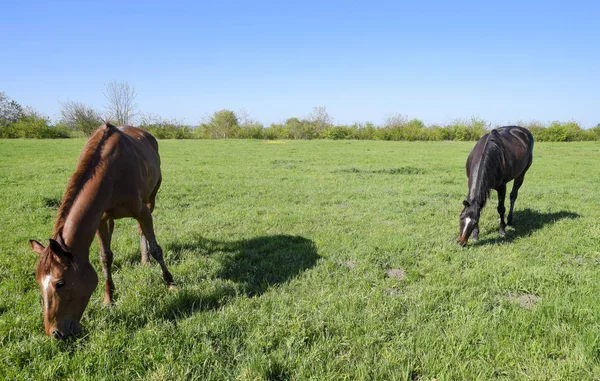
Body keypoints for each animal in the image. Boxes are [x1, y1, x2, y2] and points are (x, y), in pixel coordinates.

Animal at [29, 122, 175, 338]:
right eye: (38, 282)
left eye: (60, 283)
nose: (55, 334)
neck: (112, 172)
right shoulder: (100, 219)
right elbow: (105, 257)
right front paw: (108, 299)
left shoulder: (142, 211)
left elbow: (157, 248)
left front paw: (171, 284)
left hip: (152, 197)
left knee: (142, 231)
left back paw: (145, 259)